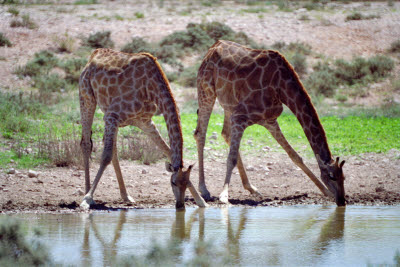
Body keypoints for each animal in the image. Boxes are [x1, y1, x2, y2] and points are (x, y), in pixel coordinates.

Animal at [79, 49, 208, 210]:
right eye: (172, 182)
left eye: (186, 183)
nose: (180, 205)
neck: (150, 88)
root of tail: (93, 55)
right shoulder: (112, 115)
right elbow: (105, 156)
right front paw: (87, 199)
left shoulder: (144, 122)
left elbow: (168, 151)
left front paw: (201, 201)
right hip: (87, 96)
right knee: (86, 143)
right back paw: (87, 192)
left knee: (112, 148)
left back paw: (126, 195)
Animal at [193, 40, 344, 207]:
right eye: (331, 176)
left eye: (343, 177)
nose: (342, 200)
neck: (281, 87)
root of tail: (214, 46)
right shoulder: (241, 116)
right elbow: (231, 158)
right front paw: (224, 196)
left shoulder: (269, 120)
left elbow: (295, 156)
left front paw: (325, 192)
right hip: (206, 89)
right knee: (200, 133)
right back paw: (204, 190)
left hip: (229, 104)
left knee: (225, 134)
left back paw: (251, 188)